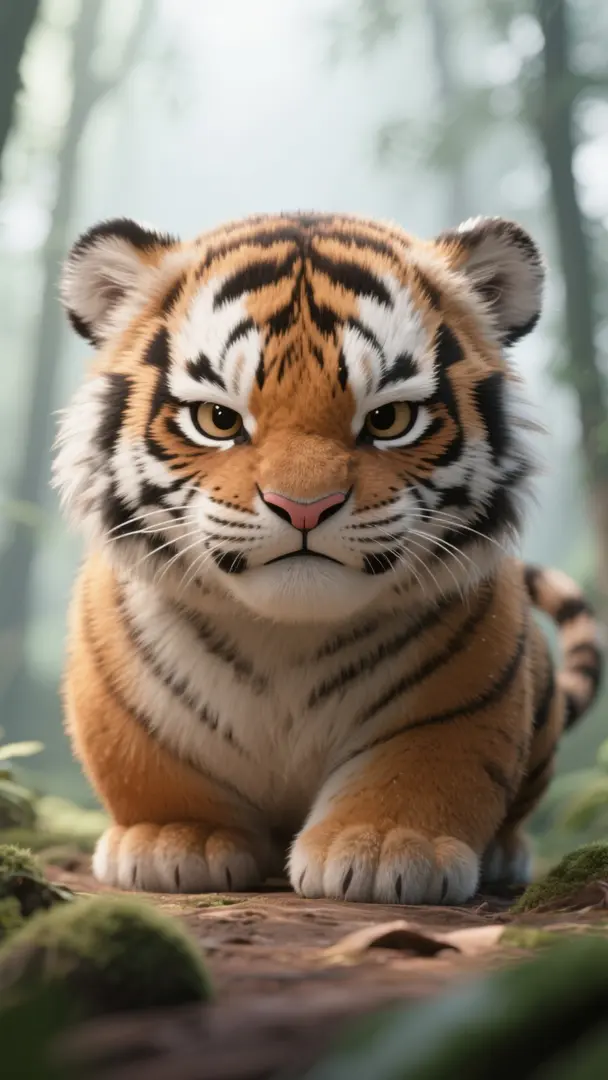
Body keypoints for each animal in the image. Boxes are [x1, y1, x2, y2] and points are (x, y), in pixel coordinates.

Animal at [53, 210, 603, 904]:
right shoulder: (125, 700)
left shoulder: (455, 697)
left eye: (390, 420)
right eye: (218, 419)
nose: (304, 507)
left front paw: (384, 848)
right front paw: (176, 840)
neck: (285, 638)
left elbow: (422, 767)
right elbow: (151, 768)